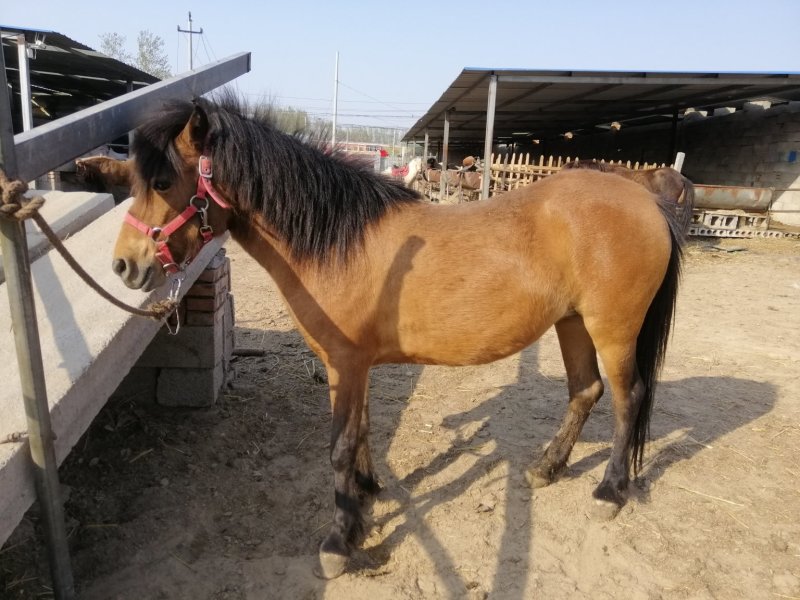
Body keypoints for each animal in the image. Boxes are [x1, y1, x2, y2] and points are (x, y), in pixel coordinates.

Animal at [112, 94, 690, 579]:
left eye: (162, 182)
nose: (124, 265)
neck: (337, 241)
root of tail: (647, 202)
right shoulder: (353, 366)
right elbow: (363, 431)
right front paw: (366, 496)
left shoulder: (346, 363)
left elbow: (340, 446)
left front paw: (339, 540)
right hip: (572, 323)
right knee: (585, 390)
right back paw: (547, 467)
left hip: (613, 329)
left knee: (628, 399)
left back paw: (609, 492)